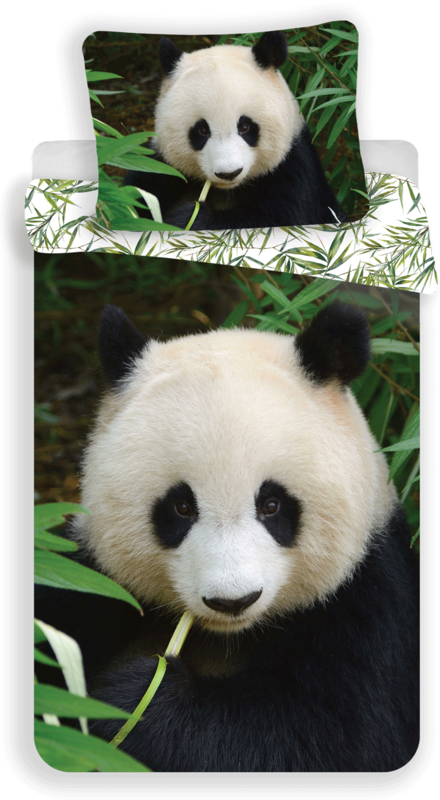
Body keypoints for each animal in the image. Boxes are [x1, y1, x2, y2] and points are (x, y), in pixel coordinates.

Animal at [36, 301, 419, 772]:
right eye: (181, 507)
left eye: (271, 505)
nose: (233, 601)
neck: (226, 635)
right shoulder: (90, 579)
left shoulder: (369, 601)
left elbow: (326, 738)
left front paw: (133, 701)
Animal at [124, 32, 346, 230]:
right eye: (202, 130)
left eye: (245, 127)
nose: (229, 173)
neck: (227, 190)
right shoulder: (159, 167)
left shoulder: (293, 170)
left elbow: (276, 218)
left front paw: (190, 218)